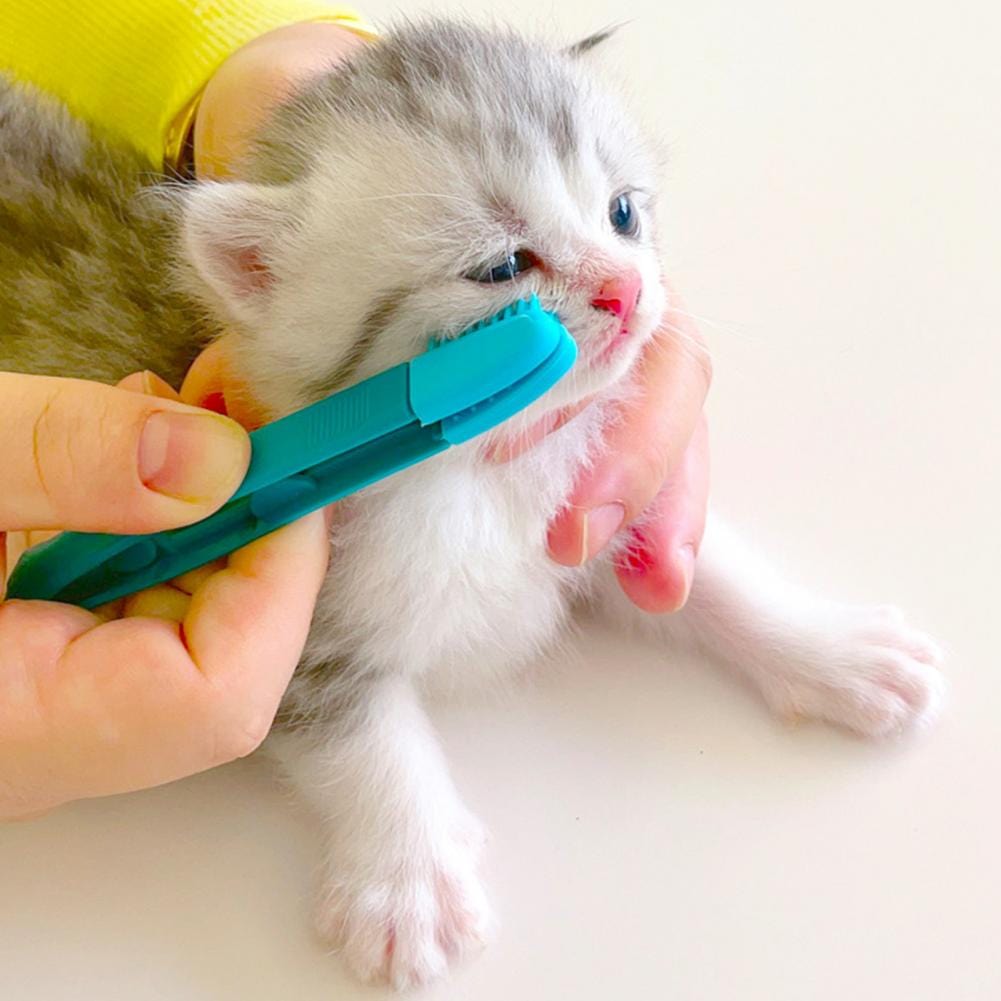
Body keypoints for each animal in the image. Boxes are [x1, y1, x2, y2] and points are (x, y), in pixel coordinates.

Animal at [0, 19, 940, 988]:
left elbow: (699, 571)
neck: (476, 475)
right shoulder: (293, 588)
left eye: (622, 213)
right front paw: (406, 877)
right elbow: (354, 727)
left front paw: (832, 648)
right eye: (502, 267)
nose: (629, 291)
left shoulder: (592, 496)